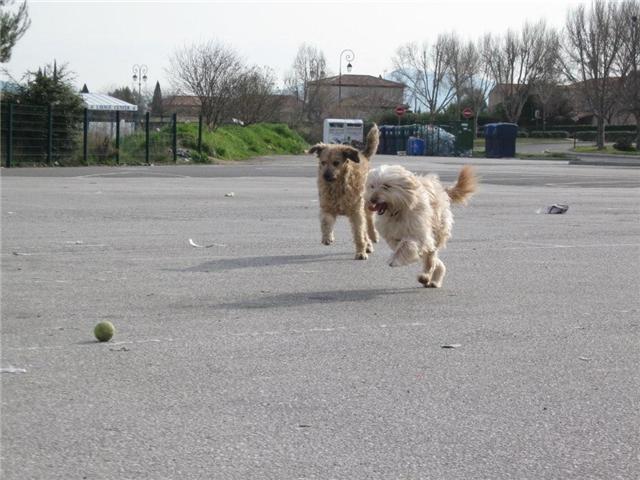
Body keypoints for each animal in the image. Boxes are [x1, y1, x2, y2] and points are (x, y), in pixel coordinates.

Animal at [306, 124, 378, 258]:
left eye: (336, 163)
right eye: (323, 162)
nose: (325, 176)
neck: (338, 187)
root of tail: (364, 156)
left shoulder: (356, 212)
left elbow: (359, 233)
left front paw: (361, 252)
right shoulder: (327, 207)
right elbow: (325, 222)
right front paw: (327, 237)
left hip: (367, 205)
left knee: (368, 223)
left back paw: (371, 239)